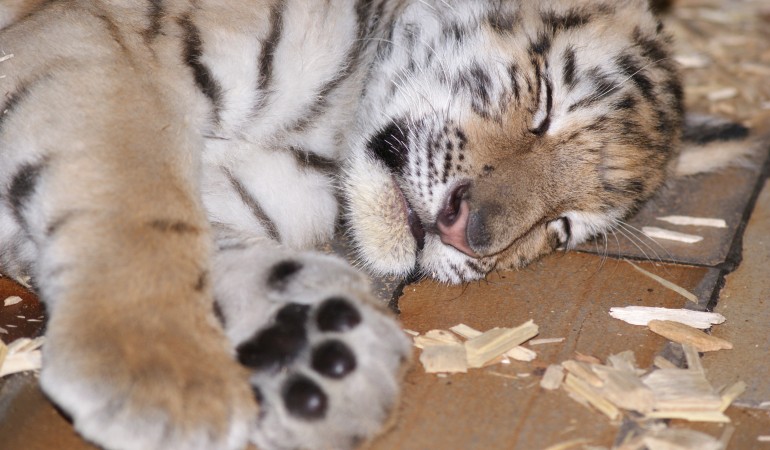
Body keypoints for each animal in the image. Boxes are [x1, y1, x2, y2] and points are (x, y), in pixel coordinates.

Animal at [0, 0, 689, 449]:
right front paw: (157, 373)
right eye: (546, 103)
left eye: (561, 226)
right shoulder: (100, 44)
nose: (469, 235)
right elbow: (133, 203)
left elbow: (198, 241)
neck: (325, 135)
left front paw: (320, 356)